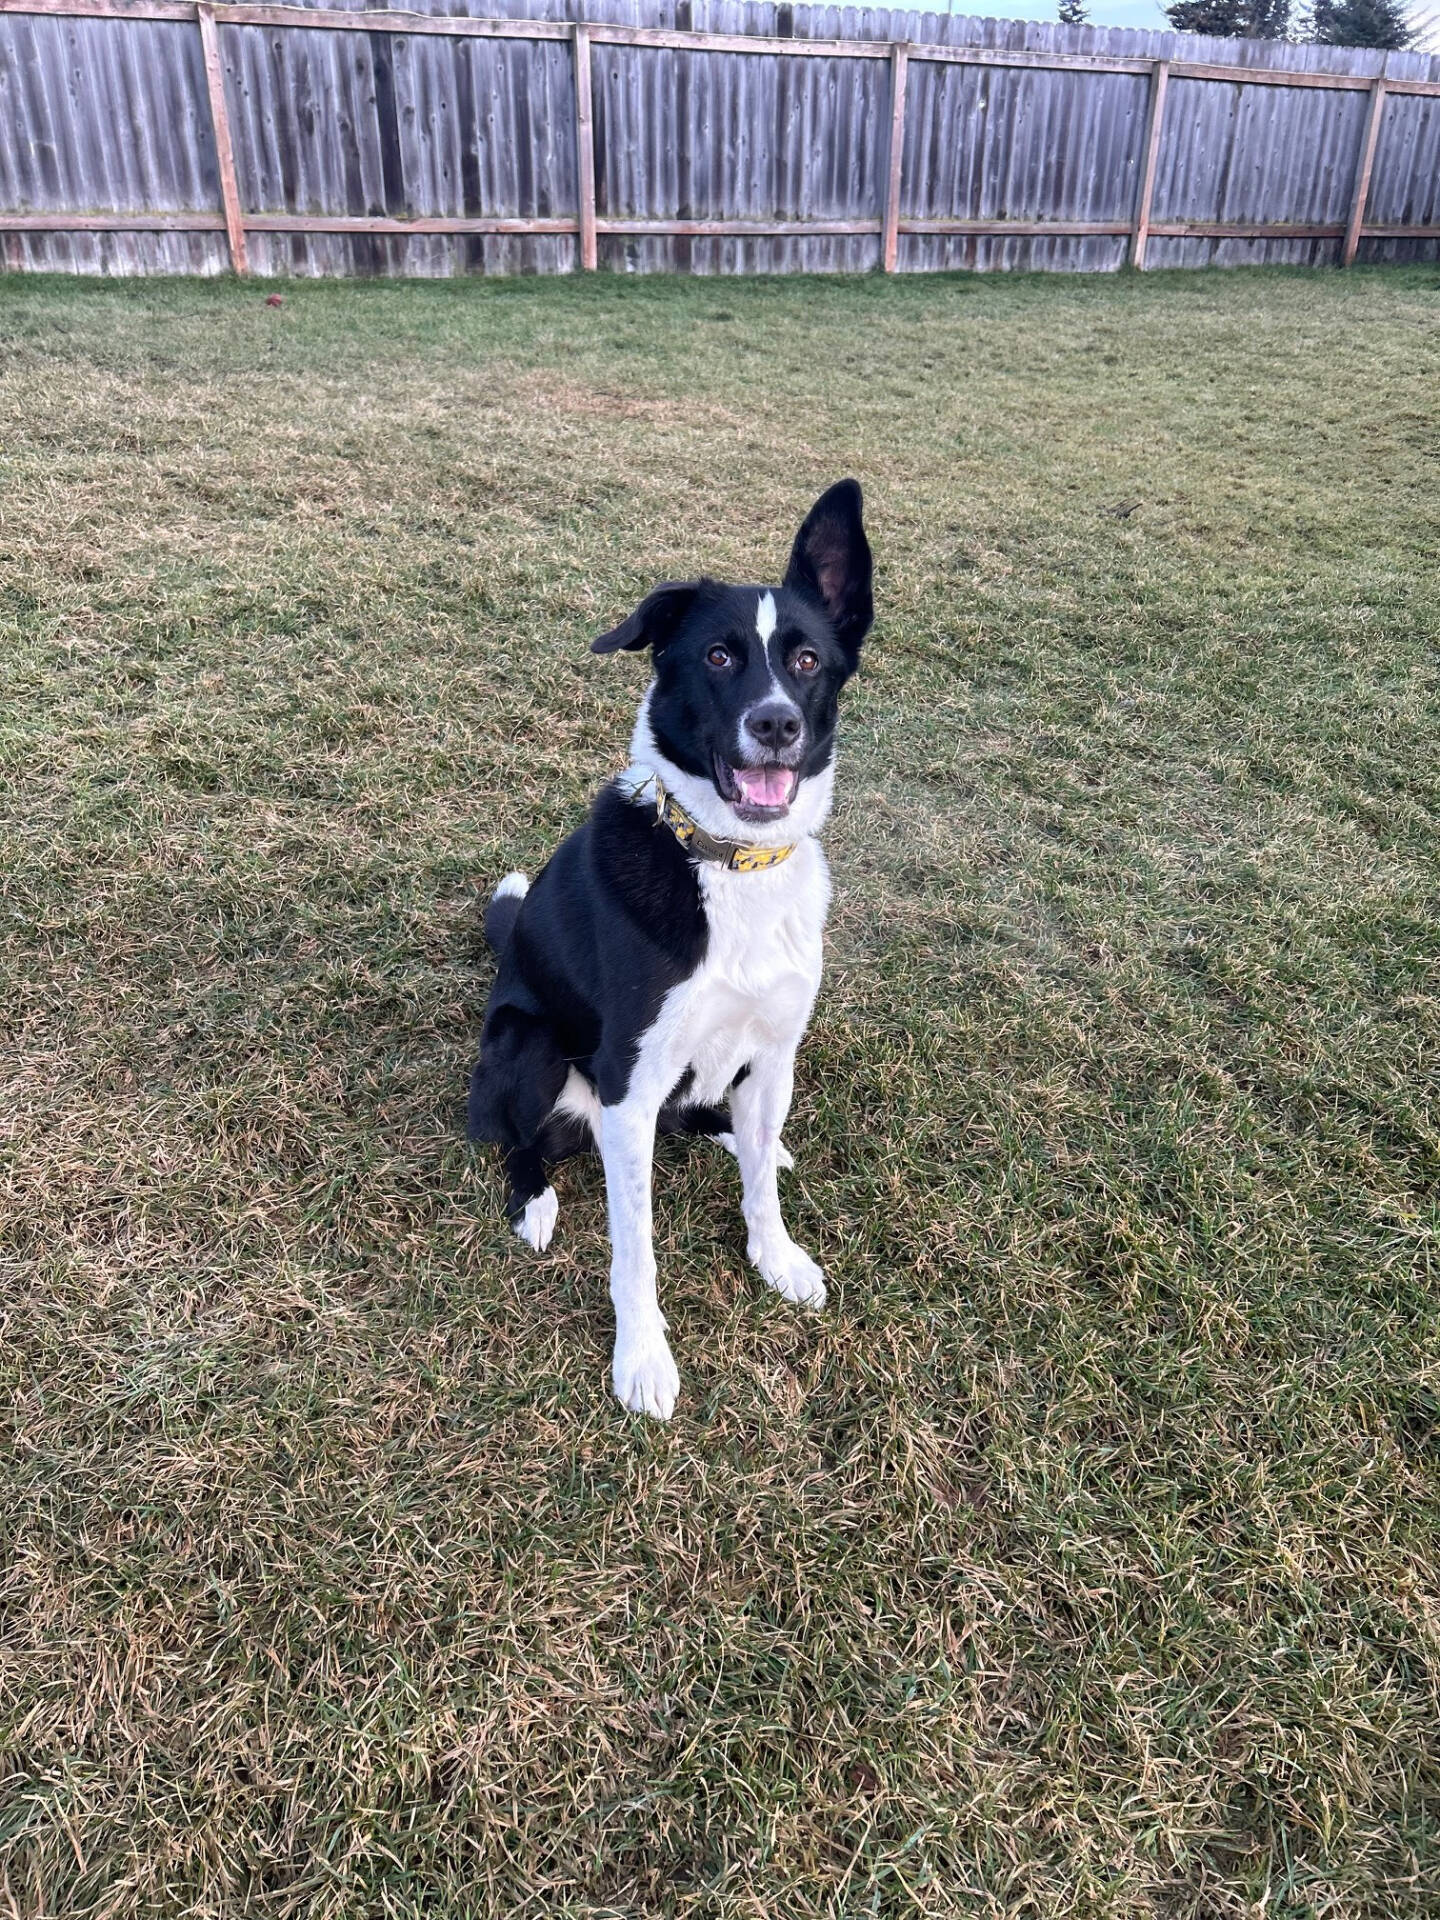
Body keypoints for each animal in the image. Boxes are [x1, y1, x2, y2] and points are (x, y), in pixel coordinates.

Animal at [474, 474, 875, 1420]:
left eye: (807, 661)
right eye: (720, 658)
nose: (776, 726)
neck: (730, 863)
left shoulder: (774, 1052)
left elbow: (761, 1191)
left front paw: (777, 1256)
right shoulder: (632, 1080)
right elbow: (637, 1251)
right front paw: (643, 1357)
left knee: (718, 1124)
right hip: (529, 1046)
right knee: (512, 1136)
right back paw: (533, 1201)